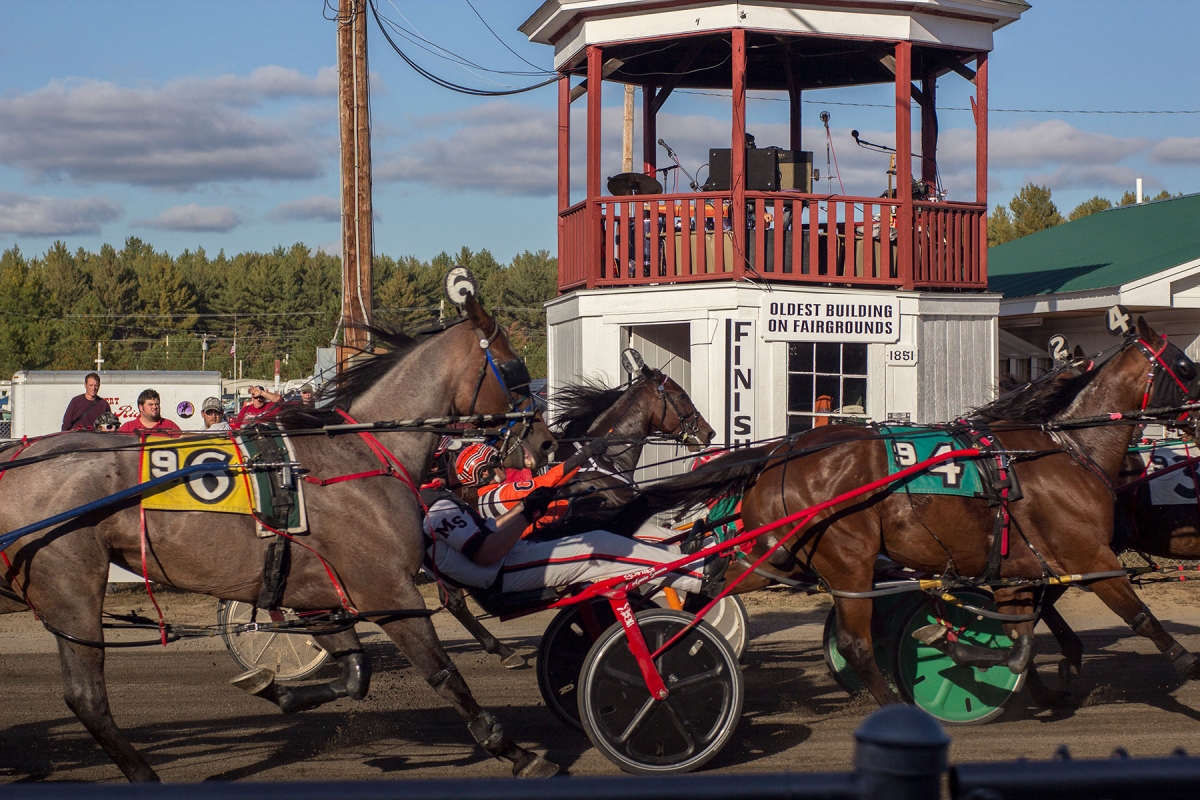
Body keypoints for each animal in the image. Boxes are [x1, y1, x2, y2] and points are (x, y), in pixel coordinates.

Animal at [0, 293, 559, 782]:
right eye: (514, 368)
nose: (548, 441)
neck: (360, 452)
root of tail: (16, 459)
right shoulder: (387, 590)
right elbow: (445, 674)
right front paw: (516, 752)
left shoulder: (317, 592)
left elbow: (356, 675)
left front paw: (275, 689)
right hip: (72, 590)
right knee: (87, 699)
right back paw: (143, 773)